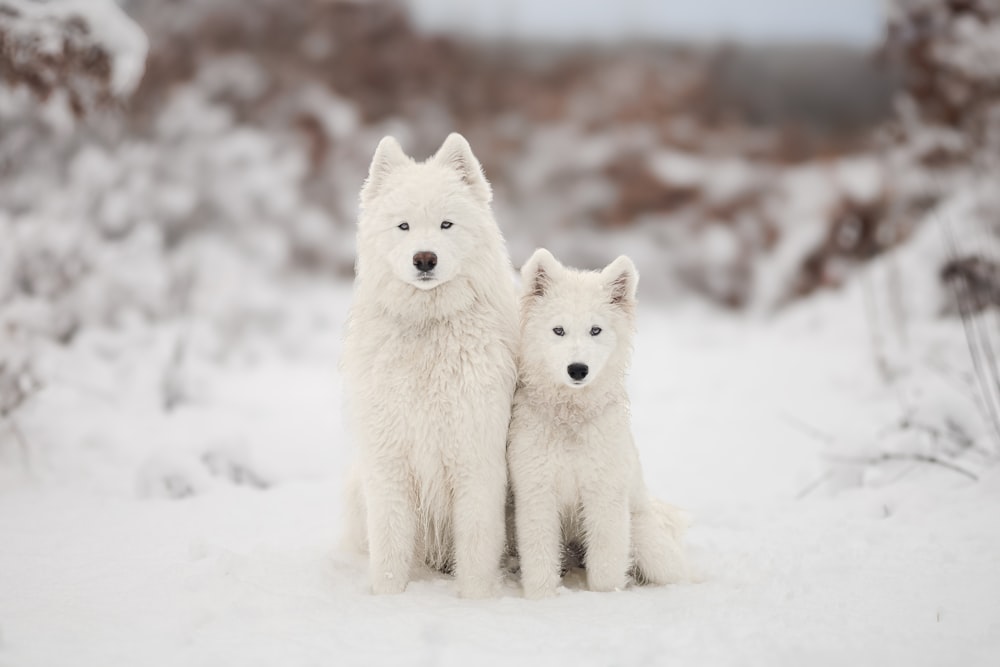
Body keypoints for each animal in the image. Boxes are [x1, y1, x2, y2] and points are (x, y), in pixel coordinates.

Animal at [342, 133, 520, 596]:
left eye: (446, 225)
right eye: (403, 226)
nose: (425, 258)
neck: (429, 327)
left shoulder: (475, 460)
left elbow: (475, 550)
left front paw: (476, 601)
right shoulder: (388, 462)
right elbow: (389, 551)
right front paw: (387, 600)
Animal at [508, 249, 688, 600]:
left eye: (596, 330)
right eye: (558, 330)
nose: (578, 369)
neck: (571, 419)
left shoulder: (604, 495)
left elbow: (605, 566)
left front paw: (605, 599)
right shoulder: (536, 491)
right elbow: (539, 560)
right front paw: (541, 599)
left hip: (644, 539)